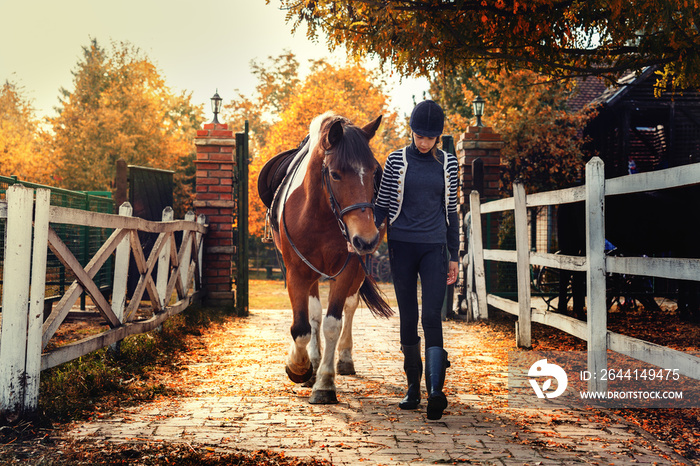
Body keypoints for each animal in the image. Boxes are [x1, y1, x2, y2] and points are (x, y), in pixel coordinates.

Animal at [264, 113, 394, 404]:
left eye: (373, 172)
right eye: (335, 174)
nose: (366, 238)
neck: (321, 214)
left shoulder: (347, 270)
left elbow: (333, 323)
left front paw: (324, 383)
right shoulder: (297, 271)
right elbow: (303, 326)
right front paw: (300, 367)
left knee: (350, 306)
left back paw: (343, 359)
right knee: (313, 315)